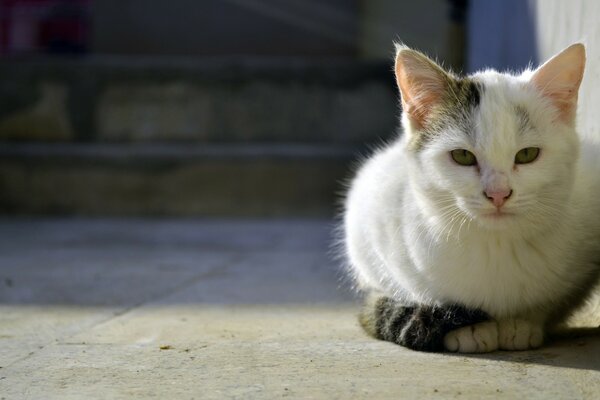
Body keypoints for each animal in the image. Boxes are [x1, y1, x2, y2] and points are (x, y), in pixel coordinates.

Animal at [342, 42, 600, 352]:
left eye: (527, 154)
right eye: (462, 156)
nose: (498, 193)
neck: (497, 246)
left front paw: (521, 323)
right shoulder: (369, 222)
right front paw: (471, 330)